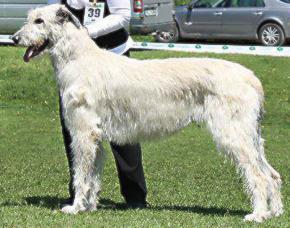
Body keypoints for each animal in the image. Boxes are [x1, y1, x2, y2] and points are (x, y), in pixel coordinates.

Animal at [13, 4, 284, 223]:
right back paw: (275, 212)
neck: (78, 59)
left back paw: (257, 214)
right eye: (30, 18)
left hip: (233, 133)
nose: (15, 39)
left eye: (40, 21)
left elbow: (81, 174)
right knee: (272, 174)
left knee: (259, 176)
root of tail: (253, 79)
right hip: (251, 135)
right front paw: (89, 206)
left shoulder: (82, 133)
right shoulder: (95, 136)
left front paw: (75, 206)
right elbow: (94, 174)